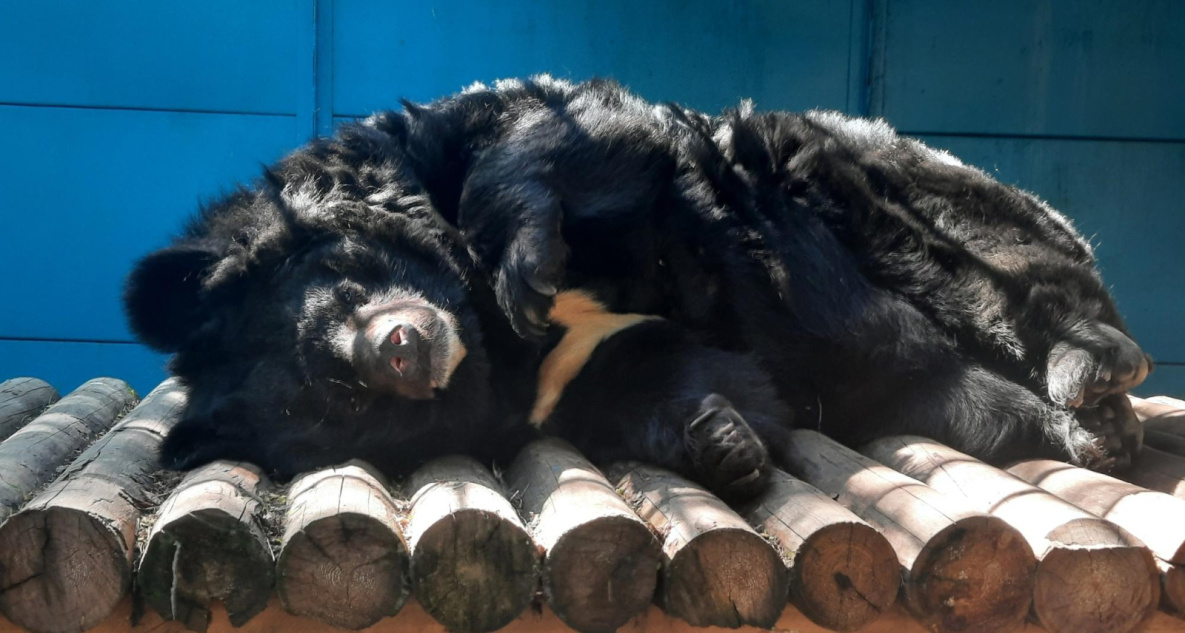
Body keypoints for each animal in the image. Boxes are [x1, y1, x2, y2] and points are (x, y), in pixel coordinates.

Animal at [124, 76, 1150, 502]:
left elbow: (544, 141)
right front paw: (723, 445)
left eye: (341, 287)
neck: (486, 336)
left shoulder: (481, 137)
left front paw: (526, 269)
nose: (403, 349)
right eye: (333, 398)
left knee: (1005, 270)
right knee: (968, 401)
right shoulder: (567, 380)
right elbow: (681, 377)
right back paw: (1088, 430)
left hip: (867, 182)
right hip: (911, 381)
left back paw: (1093, 370)